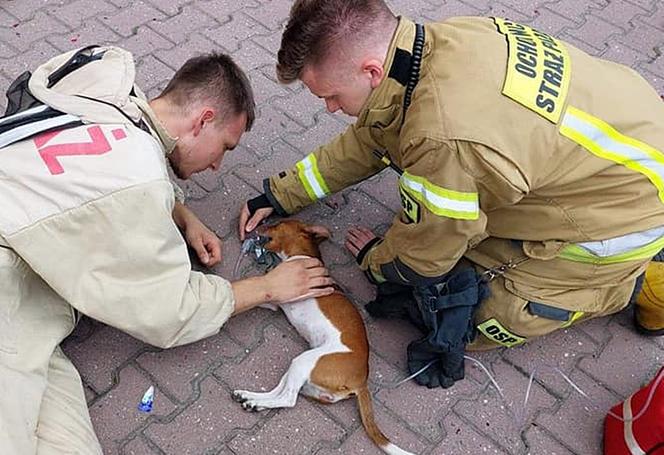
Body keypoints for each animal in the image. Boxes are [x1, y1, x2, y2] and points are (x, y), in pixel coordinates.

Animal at [231, 221, 412, 455]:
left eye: (276, 224)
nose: (259, 224)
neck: (302, 255)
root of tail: (361, 382)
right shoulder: (274, 302)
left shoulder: (280, 296)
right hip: (302, 369)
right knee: (281, 391)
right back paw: (251, 399)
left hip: (306, 360)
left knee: (289, 398)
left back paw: (255, 401)